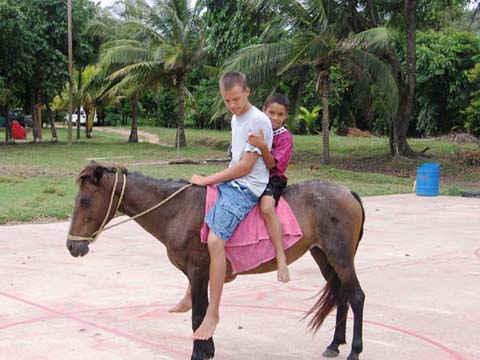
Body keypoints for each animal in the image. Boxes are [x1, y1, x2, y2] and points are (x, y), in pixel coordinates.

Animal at [67, 163, 366, 360]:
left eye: (85, 200)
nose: (71, 245)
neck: (178, 210)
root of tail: (349, 192)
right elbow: (203, 312)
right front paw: (207, 348)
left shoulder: (198, 272)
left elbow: (198, 315)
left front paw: (199, 352)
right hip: (323, 256)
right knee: (341, 295)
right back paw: (335, 344)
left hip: (340, 257)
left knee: (356, 297)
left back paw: (354, 350)